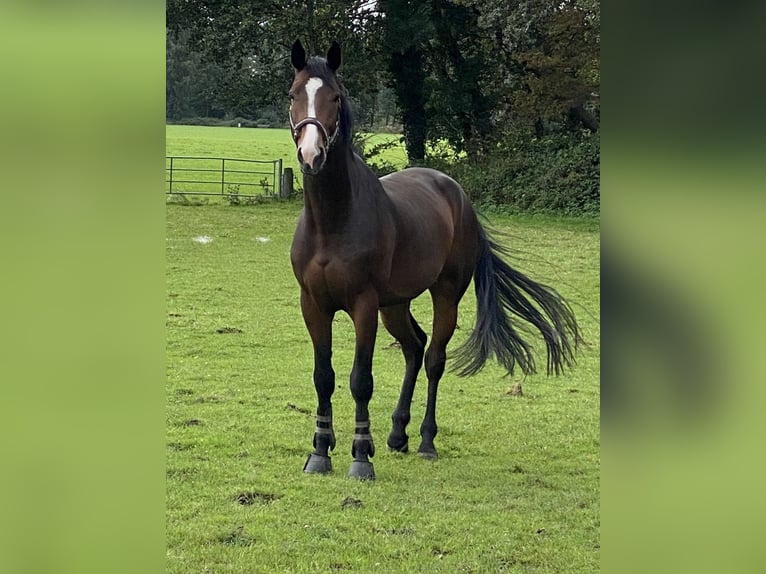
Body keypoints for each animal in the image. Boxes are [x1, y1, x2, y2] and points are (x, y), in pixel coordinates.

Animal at [288, 40, 584, 482]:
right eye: (294, 95)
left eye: (335, 98)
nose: (311, 154)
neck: (333, 221)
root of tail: (458, 195)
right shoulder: (314, 305)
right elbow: (324, 378)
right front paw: (321, 452)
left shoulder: (363, 306)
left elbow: (360, 380)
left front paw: (360, 458)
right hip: (395, 305)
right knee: (414, 347)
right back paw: (397, 434)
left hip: (443, 295)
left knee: (433, 359)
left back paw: (425, 441)